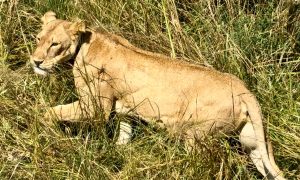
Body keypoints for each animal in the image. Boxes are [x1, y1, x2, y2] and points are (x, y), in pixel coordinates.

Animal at [31, 11, 286, 180]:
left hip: (196, 135)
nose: (35, 61)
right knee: (269, 167)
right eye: (38, 38)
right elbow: (124, 136)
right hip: (253, 141)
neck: (84, 44)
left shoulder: (94, 107)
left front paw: (46, 131)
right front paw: (119, 156)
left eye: (55, 44)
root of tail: (245, 89)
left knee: (206, 164)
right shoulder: (126, 110)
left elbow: (50, 112)